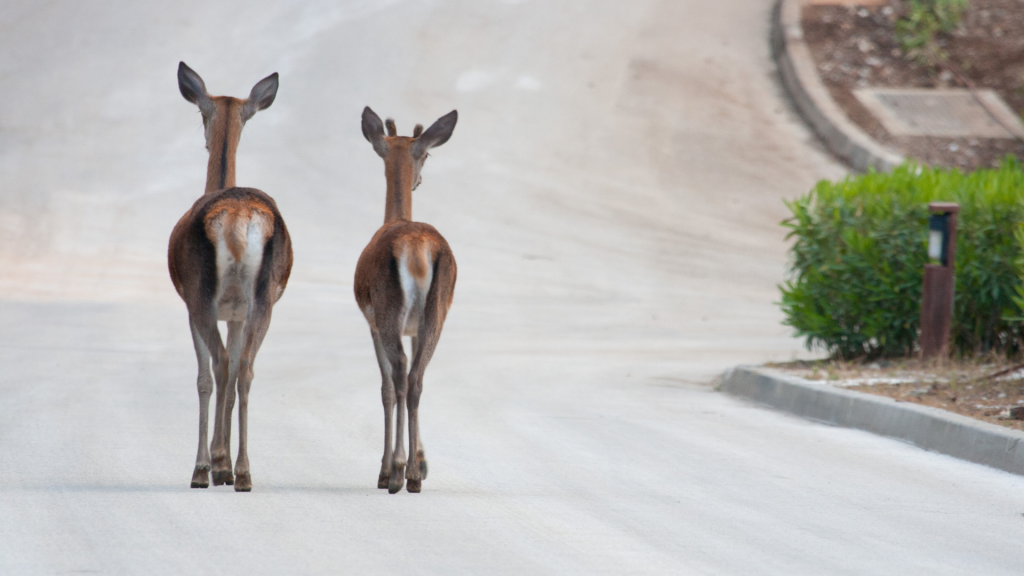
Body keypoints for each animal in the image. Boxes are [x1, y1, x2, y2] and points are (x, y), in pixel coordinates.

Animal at [165, 63, 290, 494]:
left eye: (201, 113)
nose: (205, 139)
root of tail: (237, 222)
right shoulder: (235, 314)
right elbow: (236, 371)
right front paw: (226, 462)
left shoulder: (190, 306)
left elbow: (205, 377)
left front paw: (213, 463)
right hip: (262, 301)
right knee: (246, 369)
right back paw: (244, 471)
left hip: (201, 296)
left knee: (217, 365)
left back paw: (205, 469)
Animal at [356, 105, 460, 491]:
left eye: (426, 155)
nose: (419, 180)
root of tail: (416, 250)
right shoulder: (413, 329)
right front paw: (423, 459)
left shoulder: (370, 321)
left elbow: (385, 388)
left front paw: (386, 468)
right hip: (436, 312)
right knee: (416, 378)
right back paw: (414, 473)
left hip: (388, 310)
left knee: (400, 374)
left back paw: (397, 470)